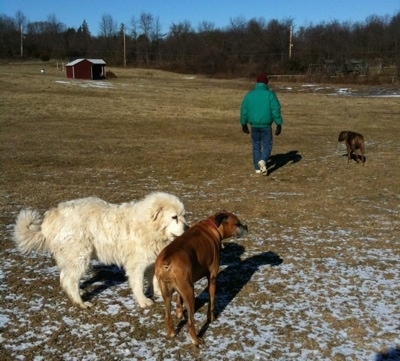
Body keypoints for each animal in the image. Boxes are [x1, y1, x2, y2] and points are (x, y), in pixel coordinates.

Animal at [12, 193, 188, 308]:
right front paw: (143, 301)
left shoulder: (151, 261)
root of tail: (53, 214)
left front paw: (159, 293)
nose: (187, 228)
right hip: (79, 257)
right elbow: (138, 284)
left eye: (183, 215)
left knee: (64, 278)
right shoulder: (136, 265)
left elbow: (154, 280)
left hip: (71, 257)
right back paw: (81, 303)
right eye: (174, 217)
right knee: (69, 280)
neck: (148, 225)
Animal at [155, 211, 247, 346]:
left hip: (166, 293)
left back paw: (171, 333)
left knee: (167, 316)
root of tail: (167, 260)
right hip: (190, 294)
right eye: (237, 223)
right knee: (190, 322)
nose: (246, 227)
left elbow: (178, 298)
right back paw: (196, 340)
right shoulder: (212, 278)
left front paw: (179, 313)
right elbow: (212, 300)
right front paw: (211, 318)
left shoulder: (180, 287)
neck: (213, 227)